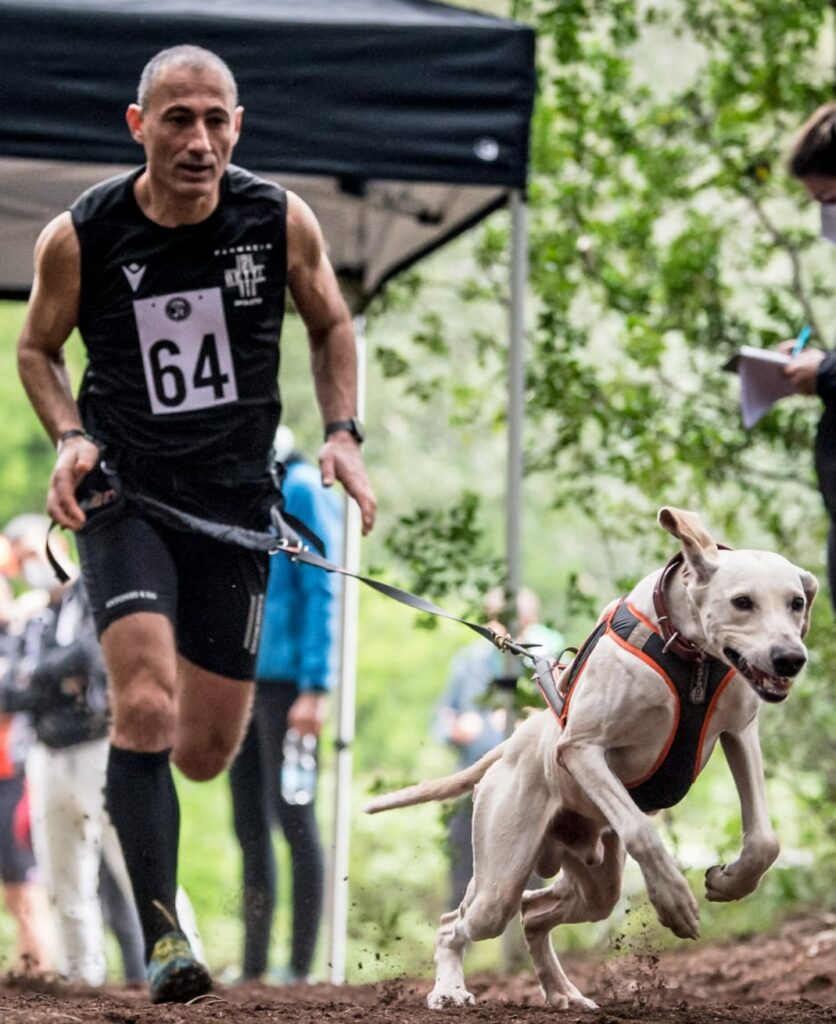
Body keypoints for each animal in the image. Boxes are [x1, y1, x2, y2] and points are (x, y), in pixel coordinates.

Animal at [364, 507, 815, 1011]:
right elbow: (642, 831)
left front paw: (730, 880)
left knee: (533, 912)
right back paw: (450, 989)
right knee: (458, 923)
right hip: (499, 879)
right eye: (742, 601)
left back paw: (561, 990)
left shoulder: (739, 732)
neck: (686, 650)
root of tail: (508, 747)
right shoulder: (580, 748)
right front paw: (673, 900)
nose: (790, 658)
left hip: (594, 881)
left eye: (796, 602)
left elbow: (764, 841)